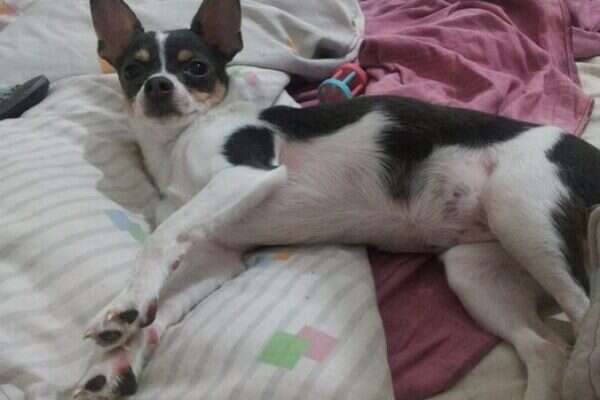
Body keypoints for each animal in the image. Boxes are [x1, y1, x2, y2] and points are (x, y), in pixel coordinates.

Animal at [73, 0, 595, 398]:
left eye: (197, 68)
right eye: (132, 70)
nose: (159, 85)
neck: (178, 143)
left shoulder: (248, 174)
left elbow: (160, 238)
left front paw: (123, 303)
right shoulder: (219, 258)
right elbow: (165, 306)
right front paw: (118, 355)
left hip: (527, 216)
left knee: (583, 314)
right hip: (477, 273)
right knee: (546, 349)